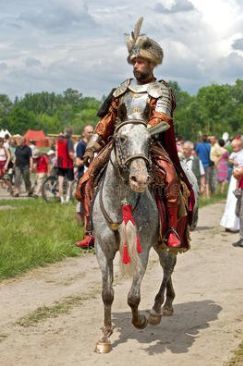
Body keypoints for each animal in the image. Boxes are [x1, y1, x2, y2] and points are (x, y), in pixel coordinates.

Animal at [91, 121, 188, 354]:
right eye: (122, 139)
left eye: (148, 140)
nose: (140, 179)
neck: (120, 202)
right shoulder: (103, 250)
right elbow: (107, 294)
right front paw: (105, 337)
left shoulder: (141, 248)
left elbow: (133, 296)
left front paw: (139, 321)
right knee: (168, 268)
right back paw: (167, 304)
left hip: (164, 243)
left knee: (168, 267)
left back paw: (157, 308)